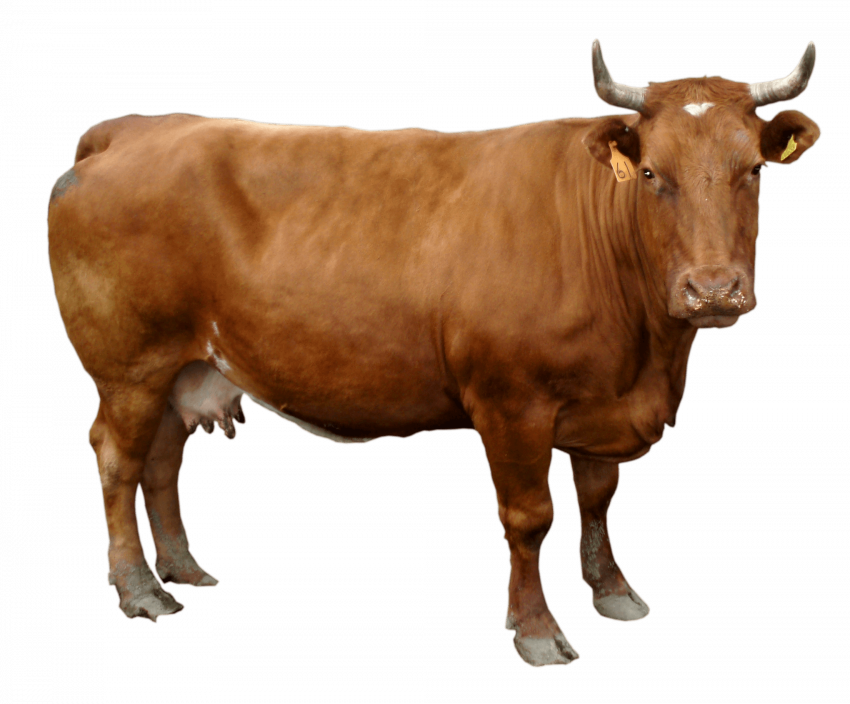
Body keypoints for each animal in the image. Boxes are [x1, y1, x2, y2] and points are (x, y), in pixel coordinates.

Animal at [46, 39, 821, 668]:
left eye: (753, 169)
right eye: (655, 174)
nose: (712, 288)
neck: (647, 356)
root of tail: (125, 129)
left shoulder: (604, 401)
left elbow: (598, 498)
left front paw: (615, 593)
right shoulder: (512, 400)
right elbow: (530, 516)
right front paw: (538, 634)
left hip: (182, 364)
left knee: (161, 460)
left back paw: (183, 568)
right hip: (129, 366)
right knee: (119, 460)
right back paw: (141, 590)